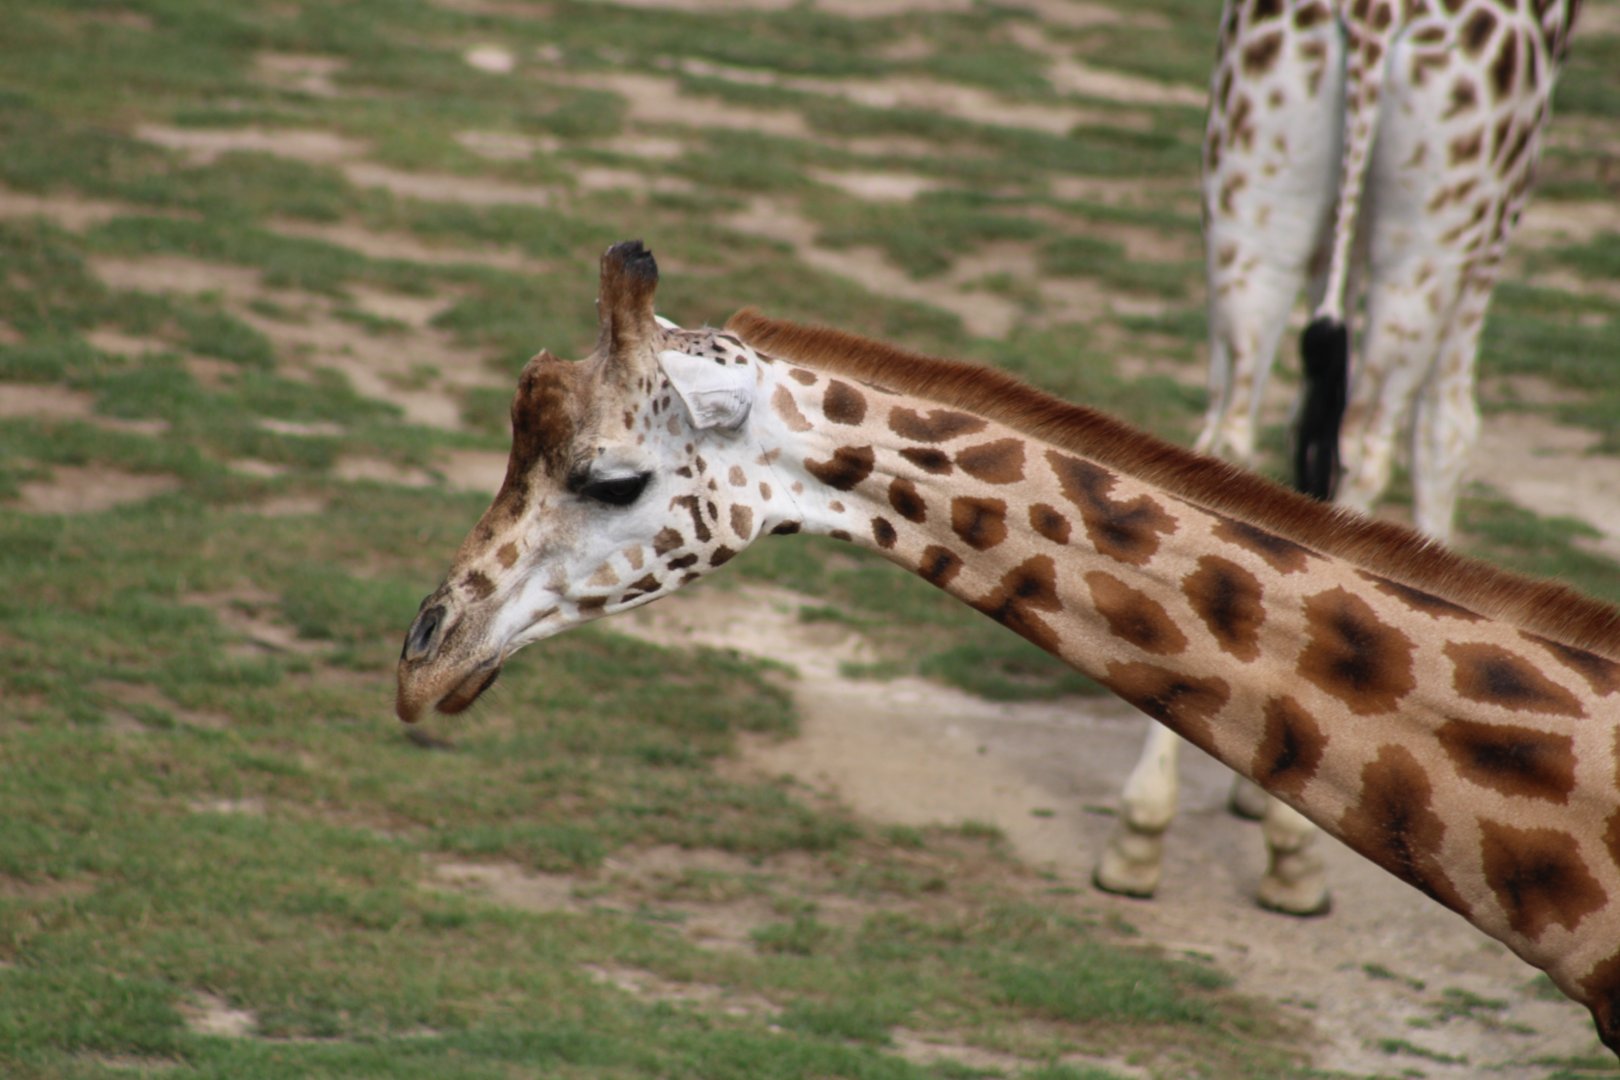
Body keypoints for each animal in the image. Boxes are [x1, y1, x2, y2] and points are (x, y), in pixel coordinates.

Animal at [1098, 0, 1582, 915]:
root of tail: (1369, 18)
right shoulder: (1497, 222)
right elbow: (1448, 434)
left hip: (1250, 196)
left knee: (1227, 435)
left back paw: (1142, 828)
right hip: (1433, 230)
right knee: (1368, 444)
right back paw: (1294, 855)